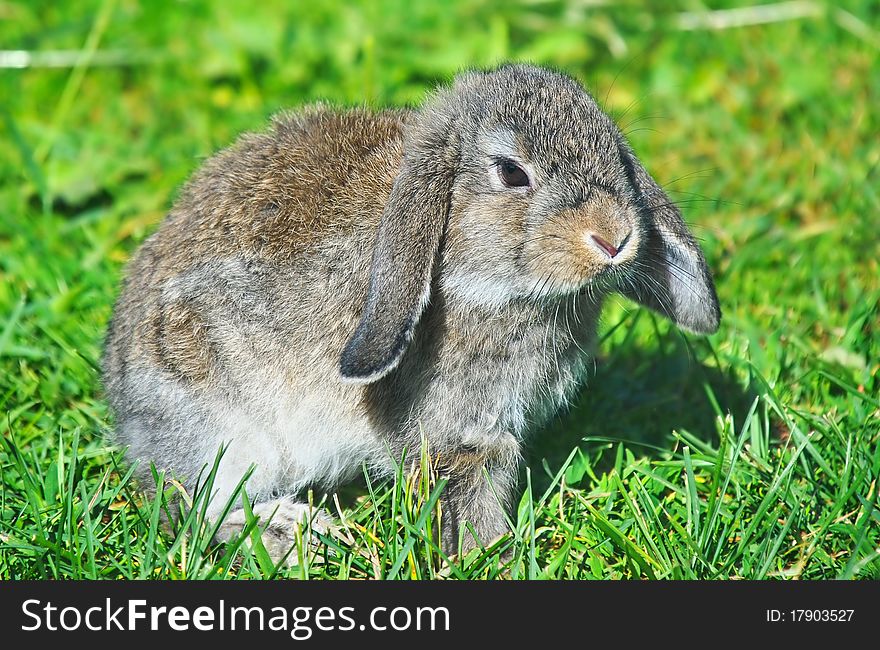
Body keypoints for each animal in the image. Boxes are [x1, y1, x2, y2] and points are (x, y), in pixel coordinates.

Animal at [103, 63, 720, 560]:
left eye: (615, 156)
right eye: (511, 173)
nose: (615, 237)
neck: (476, 277)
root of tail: (125, 410)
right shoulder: (454, 433)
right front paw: (486, 555)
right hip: (219, 423)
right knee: (193, 508)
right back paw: (291, 532)